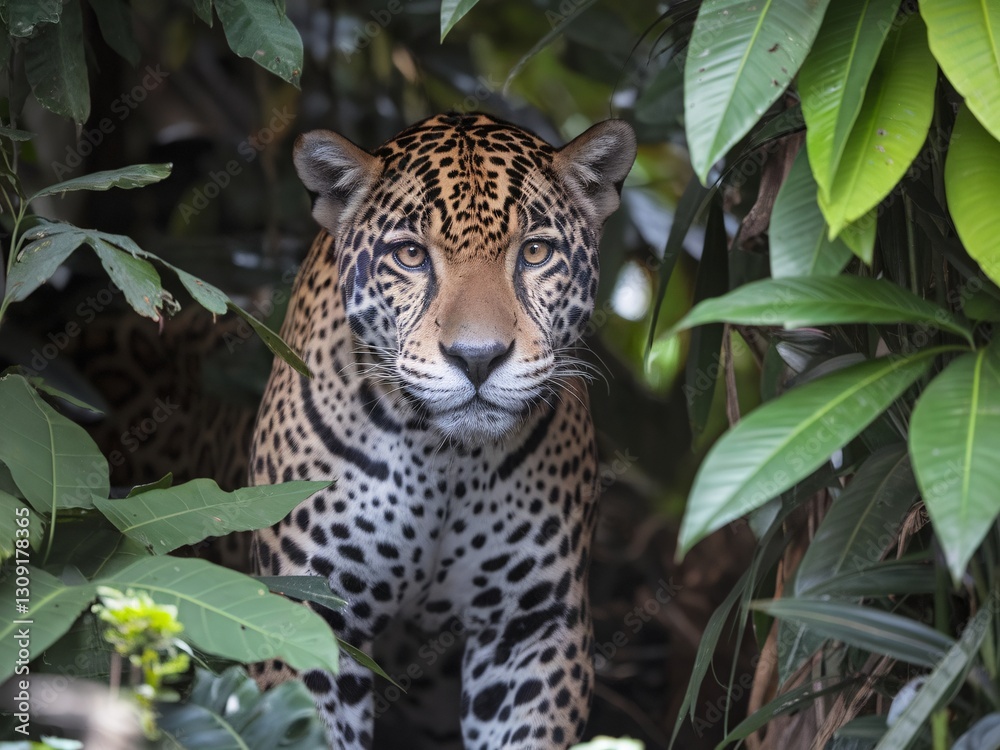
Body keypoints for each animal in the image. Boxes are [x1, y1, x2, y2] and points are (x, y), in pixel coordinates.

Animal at [249, 111, 636, 750]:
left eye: (535, 252)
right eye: (410, 255)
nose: (477, 358)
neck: (444, 456)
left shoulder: (531, 626)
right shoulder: (305, 609)